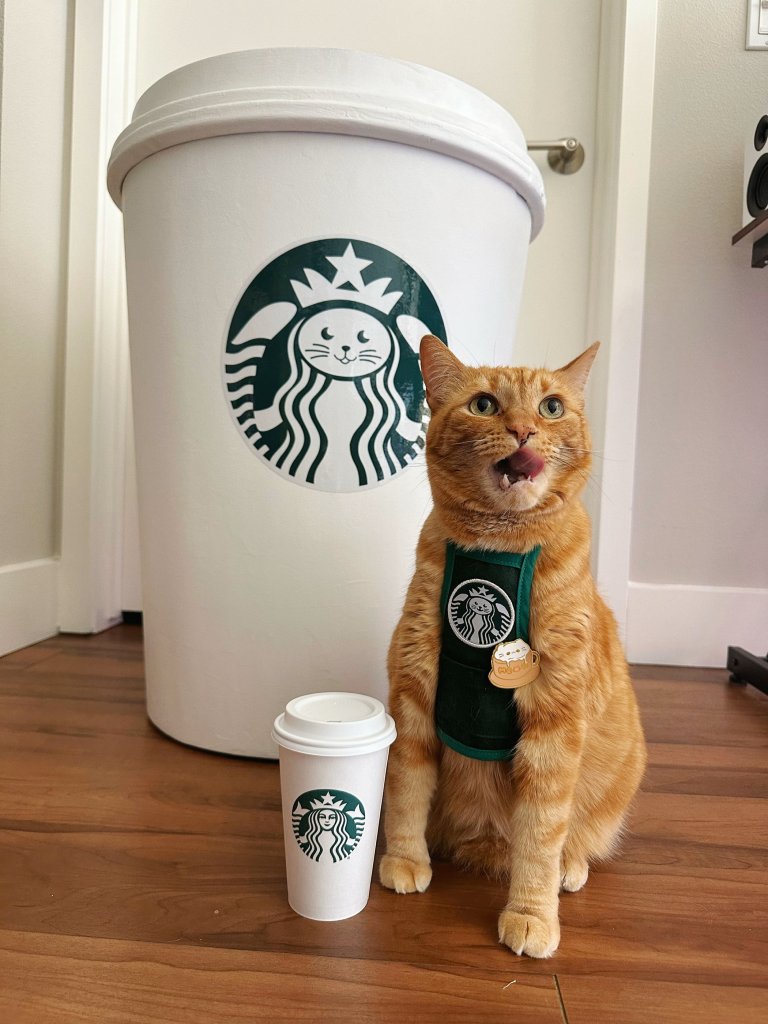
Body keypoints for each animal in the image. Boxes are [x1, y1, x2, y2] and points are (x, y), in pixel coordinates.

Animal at [382, 333, 647, 958]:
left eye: (551, 407)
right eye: (483, 405)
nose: (525, 430)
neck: (497, 549)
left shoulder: (554, 721)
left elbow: (542, 831)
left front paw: (532, 912)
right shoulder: (414, 686)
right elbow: (405, 786)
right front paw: (404, 858)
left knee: (568, 839)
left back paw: (568, 868)